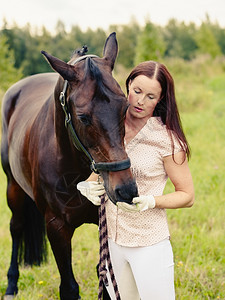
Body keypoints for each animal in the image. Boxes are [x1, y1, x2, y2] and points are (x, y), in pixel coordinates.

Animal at [0, 32, 137, 300]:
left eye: (125, 108)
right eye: (83, 117)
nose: (125, 189)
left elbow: (105, 278)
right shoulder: (57, 227)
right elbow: (69, 287)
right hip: (13, 188)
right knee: (16, 227)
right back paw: (11, 285)